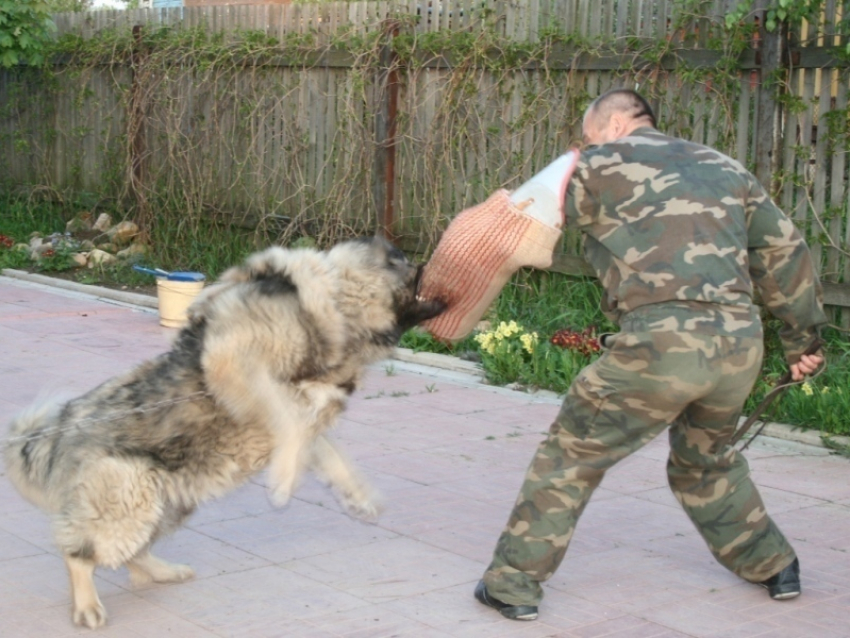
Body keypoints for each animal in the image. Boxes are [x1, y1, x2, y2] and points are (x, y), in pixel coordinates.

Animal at [3, 239, 444, 632]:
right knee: (79, 553)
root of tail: (55, 434)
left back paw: (162, 571)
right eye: (407, 262)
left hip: (167, 502)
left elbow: (319, 445)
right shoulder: (234, 362)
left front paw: (354, 493)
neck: (338, 304)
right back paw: (87, 605)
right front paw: (283, 482)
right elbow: (285, 417)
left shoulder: (303, 411)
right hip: (128, 499)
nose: (435, 264)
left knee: (131, 554)